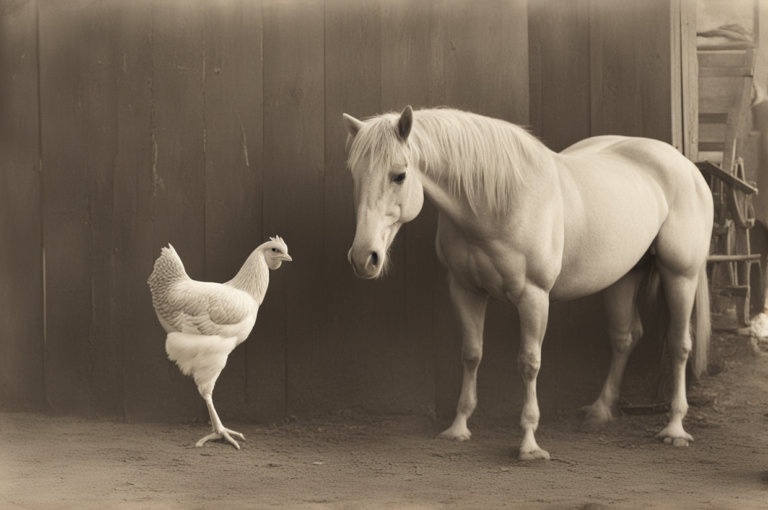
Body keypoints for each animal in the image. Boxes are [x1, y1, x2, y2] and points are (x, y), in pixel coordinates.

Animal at [342, 105, 714, 461]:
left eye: (399, 175)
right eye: (355, 175)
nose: (364, 258)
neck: (497, 205)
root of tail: (684, 164)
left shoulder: (533, 296)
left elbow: (529, 362)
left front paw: (530, 445)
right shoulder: (465, 290)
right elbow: (471, 354)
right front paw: (459, 427)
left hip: (680, 275)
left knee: (679, 343)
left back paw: (675, 428)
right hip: (623, 277)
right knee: (624, 338)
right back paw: (599, 412)